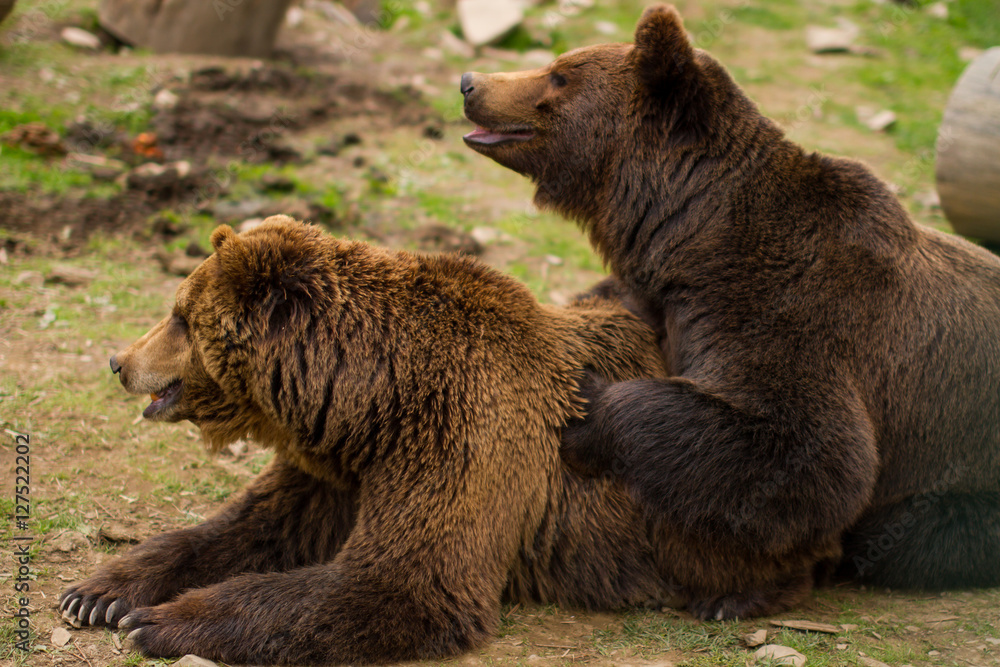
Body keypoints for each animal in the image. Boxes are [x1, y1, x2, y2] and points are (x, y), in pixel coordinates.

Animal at [58, 216, 681, 665]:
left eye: (179, 316)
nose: (119, 361)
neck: (372, 396)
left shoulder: (460, 436)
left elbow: (403, 582)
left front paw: (159, 621)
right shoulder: (337, 464)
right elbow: (251, 528)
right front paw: (99, 595)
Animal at [461, 4, 1000, 620]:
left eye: (558, 75)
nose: (470, 83)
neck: (687, 229)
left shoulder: (786, 307)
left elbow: (811, 450)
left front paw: (585, 401)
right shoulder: (664, 294)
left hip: (967, 472)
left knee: (914, 535)